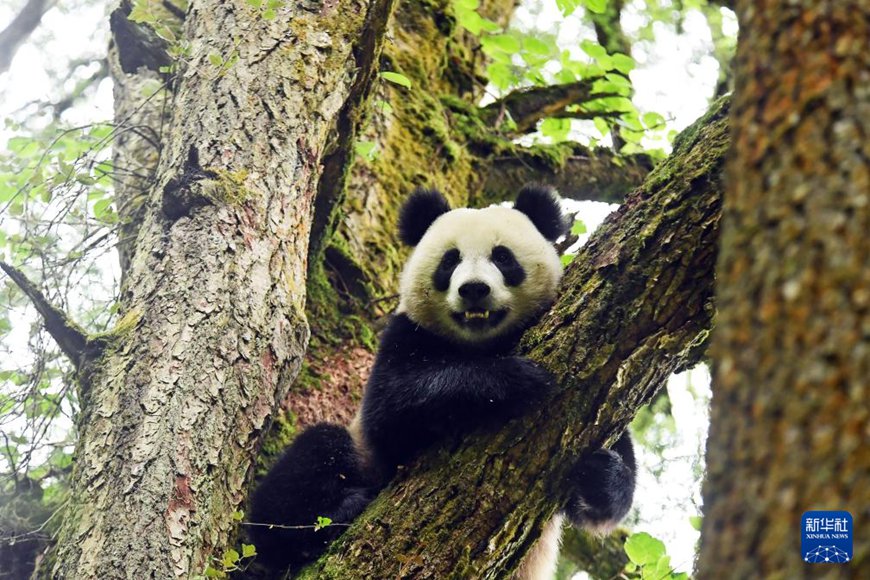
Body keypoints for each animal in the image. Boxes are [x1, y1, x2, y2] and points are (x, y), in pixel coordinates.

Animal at [249, 185, 636, 576]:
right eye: (450, 261)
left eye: (502, 257)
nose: (474, 289)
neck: (481, 343)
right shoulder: (405, 334)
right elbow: (392, 408)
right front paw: (515, 380)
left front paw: (602, 474)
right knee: (306, 465)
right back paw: (325, 520)